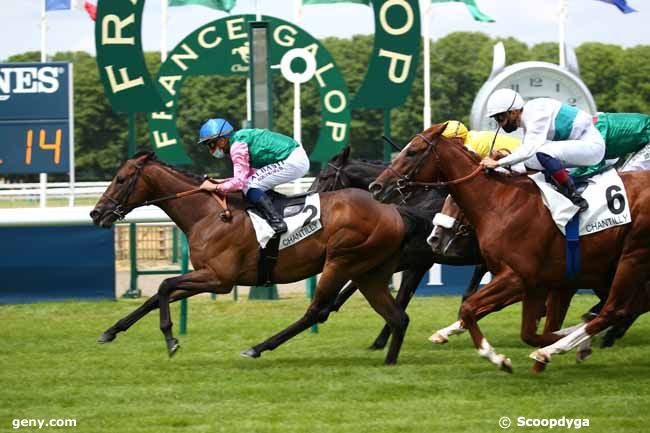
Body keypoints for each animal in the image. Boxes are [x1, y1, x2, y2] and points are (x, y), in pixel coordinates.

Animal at [90, 150, 416, 362]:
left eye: (121, 179)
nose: (96, 213)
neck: (208, 214)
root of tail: (392, 211)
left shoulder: (219, 278)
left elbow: (164, 285)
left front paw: (170, 339)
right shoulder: (207, 275)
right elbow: (157, 296)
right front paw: (110, 332)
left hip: (342, 262)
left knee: (317, 311)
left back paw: (258, 347)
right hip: (368, 272)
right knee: (398, 317)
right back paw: (389, 361)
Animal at [368, 122, 648, 372]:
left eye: (412, 151)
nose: (377, 186)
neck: (501, 203)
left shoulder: (519, 277)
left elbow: (472, 307)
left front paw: (499, 357)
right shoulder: (536, 282)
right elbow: (522, 328)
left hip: (632, 257)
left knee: (614, 310)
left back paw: (560, 347)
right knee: (627, 308)